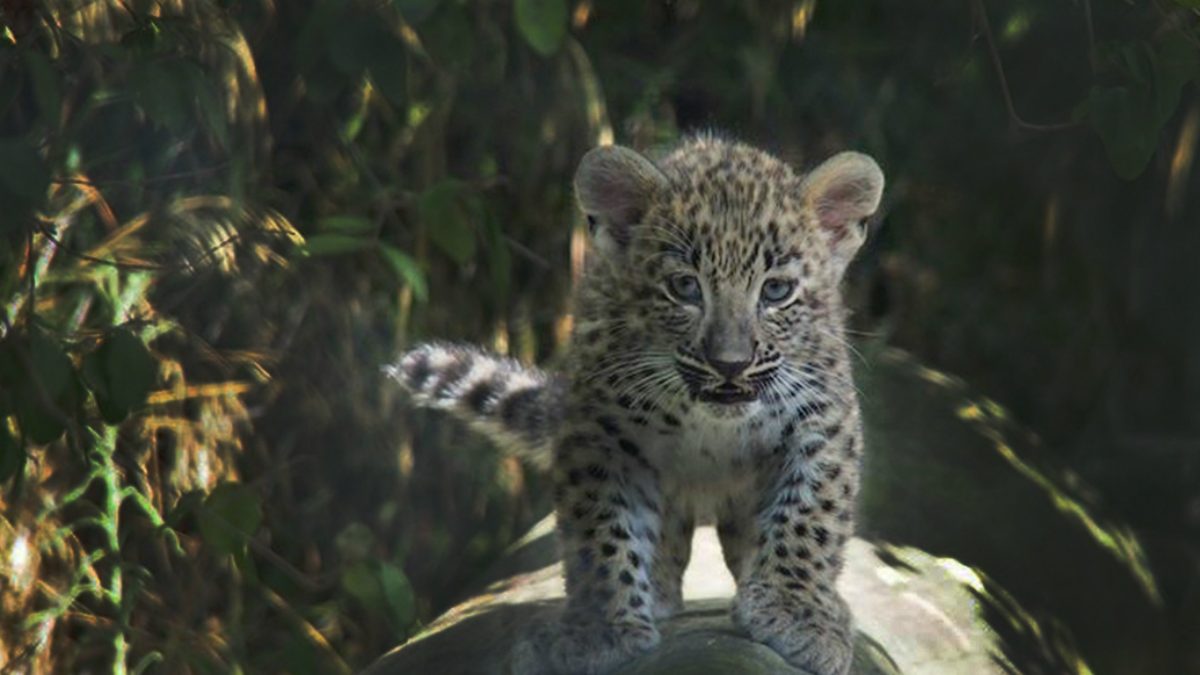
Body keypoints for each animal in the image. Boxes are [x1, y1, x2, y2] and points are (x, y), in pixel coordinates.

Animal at [387, 134, 884, 675]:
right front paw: (600, 630)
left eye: (776, 290)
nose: (729, 364)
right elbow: (603, 532)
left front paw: (798, 613)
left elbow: (808, 517)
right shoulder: (600, 434)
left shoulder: (821, 419)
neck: (713, 425)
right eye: (684, 287)